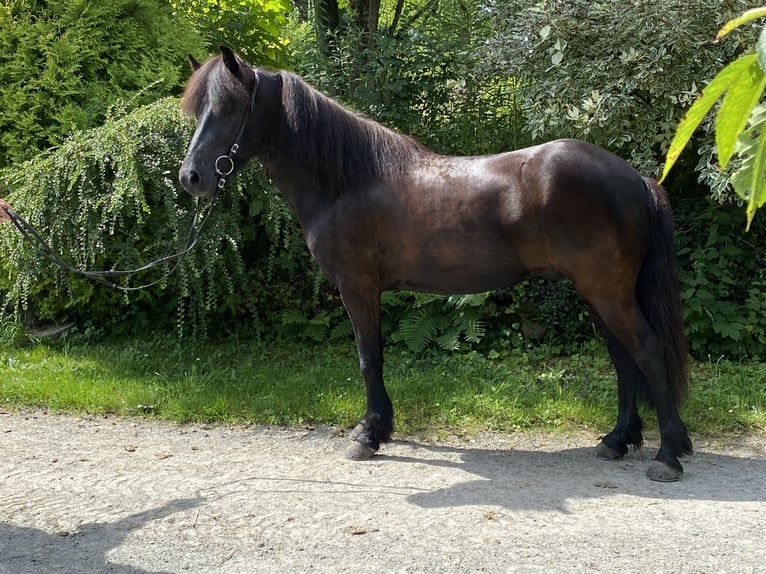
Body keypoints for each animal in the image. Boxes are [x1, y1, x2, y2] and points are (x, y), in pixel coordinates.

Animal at [180, 48, 696, 482]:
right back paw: (617, 440)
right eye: (199, 109)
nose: (192, 177)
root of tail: (635, 177)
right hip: (597, 292)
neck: (349, 181)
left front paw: (369, 434)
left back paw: (668, 455)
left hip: (606, 290)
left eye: (227, 108)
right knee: (623, 357)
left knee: (647, 351)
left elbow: (369, 357)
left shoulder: (358, 287)